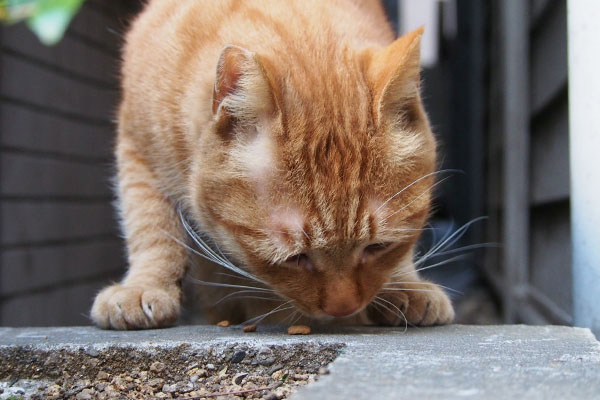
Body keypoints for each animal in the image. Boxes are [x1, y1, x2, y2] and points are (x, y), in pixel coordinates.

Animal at [90, 0, 454, 328]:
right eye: (294, 258)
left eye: (379, 247)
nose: (343, 309)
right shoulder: (139, 153)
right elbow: (153, 228)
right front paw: (144, 286)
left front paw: (403, 285)